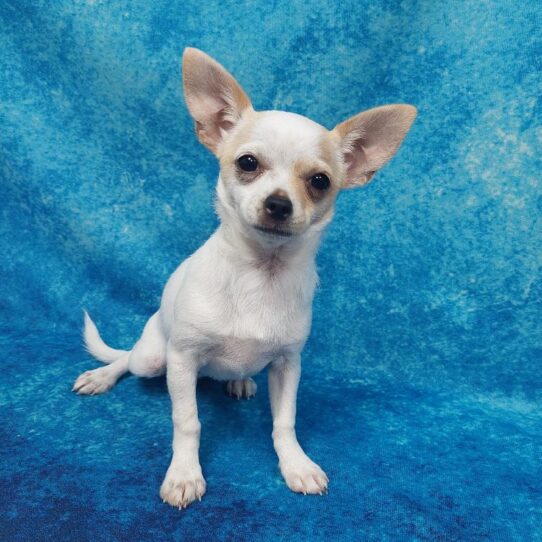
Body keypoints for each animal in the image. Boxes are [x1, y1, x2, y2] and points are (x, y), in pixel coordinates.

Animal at [73, 46, 416, 510]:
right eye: (248, 163)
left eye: (320, 181)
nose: (279, 204)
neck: (261, 273)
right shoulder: (182, 359)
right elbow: (188, 422)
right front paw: (184, 474)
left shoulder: (288, 364)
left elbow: (285, 422)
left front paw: (296, 465)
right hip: (155, 357)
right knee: (128, 359)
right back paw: (103, 375)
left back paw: (238, 381)